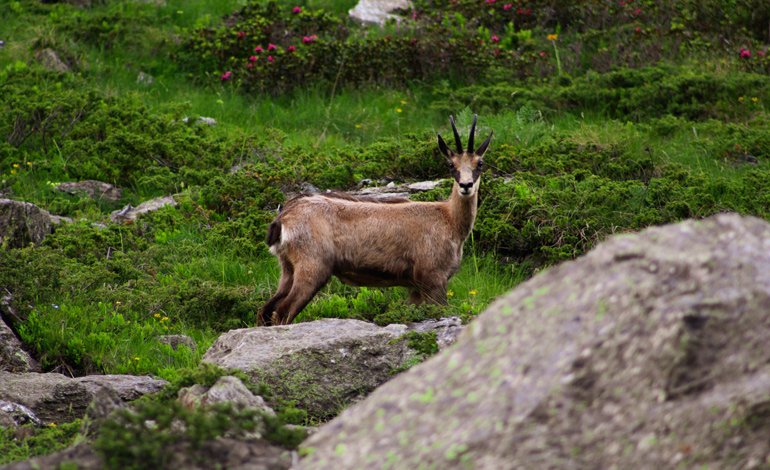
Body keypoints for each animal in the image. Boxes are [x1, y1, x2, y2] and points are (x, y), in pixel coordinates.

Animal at [258, 115, 493, 325]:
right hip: (312, 266)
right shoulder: (433, 277)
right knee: (282, 312)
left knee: (265, 310)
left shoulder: (415, 286)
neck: (449, 219)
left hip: (288, 268)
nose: (466, 186)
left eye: (480, 163)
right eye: (451, 165)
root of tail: (284, 217)